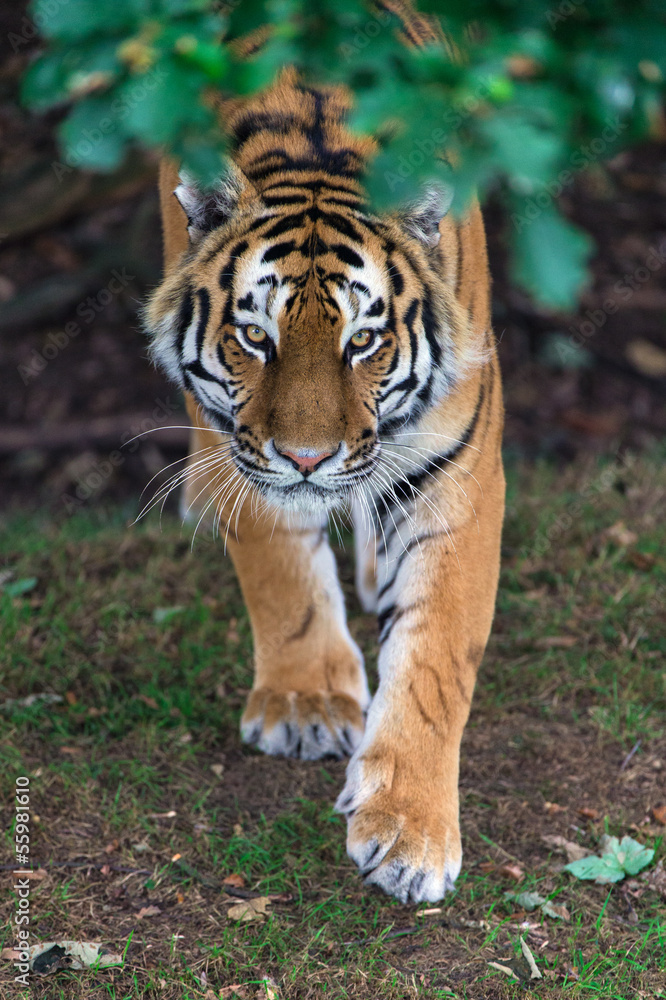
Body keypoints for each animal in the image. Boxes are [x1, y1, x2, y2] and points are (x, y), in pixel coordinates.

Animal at [143, 2, 505, 904]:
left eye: (364, 341)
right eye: (254, 336)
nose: (307, 460)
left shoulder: (460, 473)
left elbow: (436, 651)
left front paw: (409, 832)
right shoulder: (243, 448)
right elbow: (280, 569)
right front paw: (306, 704)